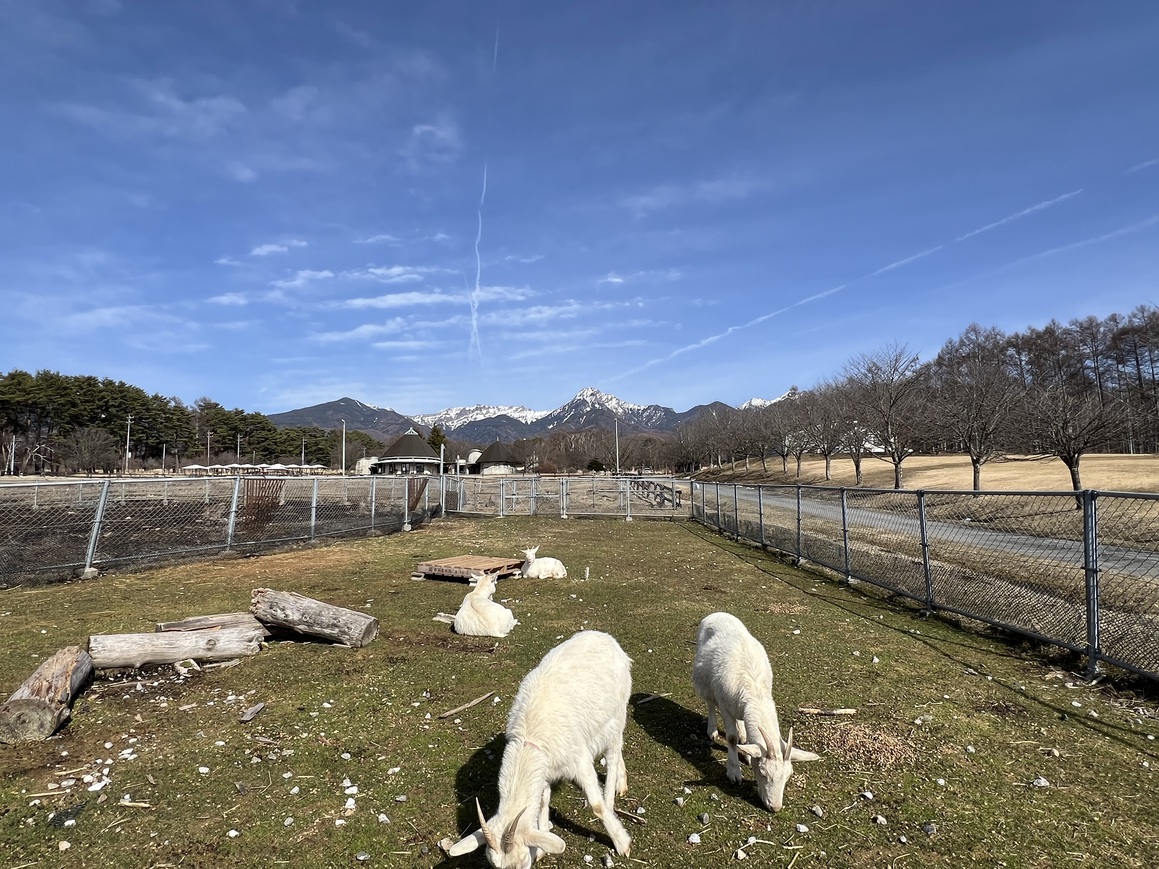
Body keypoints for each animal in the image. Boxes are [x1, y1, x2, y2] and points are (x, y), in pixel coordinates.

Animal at [449, 630, 635, 866]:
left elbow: (596, 805)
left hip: (618, 713)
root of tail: (603, 636)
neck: (529, 737)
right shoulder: (545, 771)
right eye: (494, 864)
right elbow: (543, 800)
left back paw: (613, 793)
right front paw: (542, 841)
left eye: (521, 863)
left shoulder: (579, 760)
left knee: (613, 754)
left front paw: (622, 843)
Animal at [690, 611, 820, 811]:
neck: (754, 691)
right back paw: (712, 729)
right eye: (763, 773)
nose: (775, 807)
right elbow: (731, 738)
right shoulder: (725, 706)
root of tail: (718, 613)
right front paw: (734, 771)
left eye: (788, 775)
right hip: (705, 683)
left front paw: (748, 753)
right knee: (710, 704)